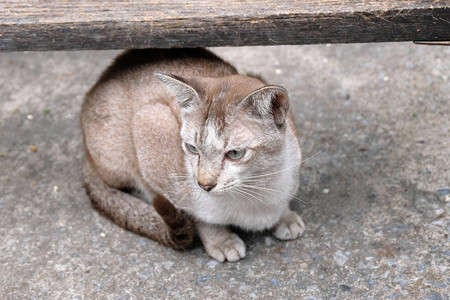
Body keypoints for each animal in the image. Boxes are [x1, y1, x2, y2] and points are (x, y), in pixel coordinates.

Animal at [81, 48, 306, 262]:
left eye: (234, 153)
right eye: (192, 148)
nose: (204, 185)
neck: (257, 188)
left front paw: (285, 217)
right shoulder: (149, 126)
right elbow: (197, 216)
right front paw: (221, 241)